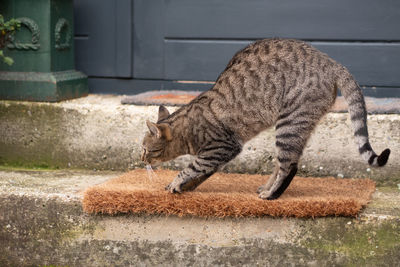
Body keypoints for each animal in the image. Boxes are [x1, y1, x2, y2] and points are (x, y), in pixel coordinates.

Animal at [141, 38, 390, 200]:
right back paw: (267, 188)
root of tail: (331, 62)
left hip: (289, 124)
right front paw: (186, 186)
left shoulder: (222, 147)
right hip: (297, 126)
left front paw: (177, 182)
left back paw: (272, 194)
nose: (141, 159)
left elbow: (192, 168)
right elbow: (201, 172)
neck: (186, 129)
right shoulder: (218, 154)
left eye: (144, 149)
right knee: (283, 162)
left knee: (289, 166)